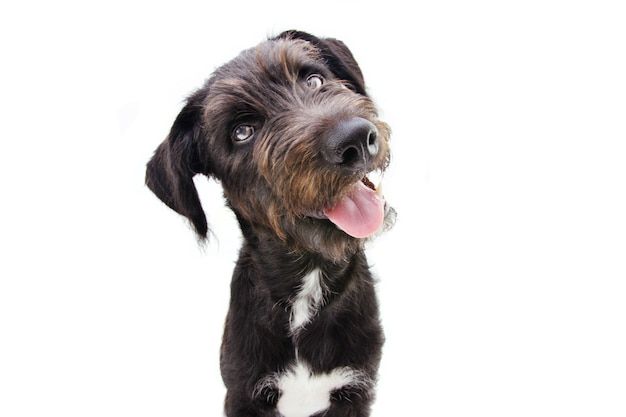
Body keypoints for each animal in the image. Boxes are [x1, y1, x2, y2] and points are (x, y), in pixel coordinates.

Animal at [144, 30, 392, 416]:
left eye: (314, 79)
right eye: (242, 131)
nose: (354, 138)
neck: (308, 288)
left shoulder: (355, 390)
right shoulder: (242, 393)